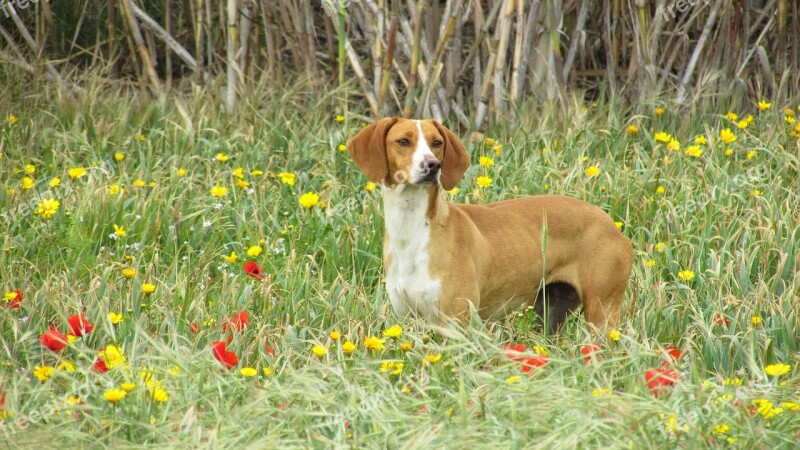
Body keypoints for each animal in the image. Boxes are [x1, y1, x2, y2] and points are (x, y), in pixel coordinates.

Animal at [346, 118, 636, 332]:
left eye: (437, 143)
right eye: (403, 141)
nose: (432, 165)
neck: (412, 230)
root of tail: (612, 225)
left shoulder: (457, 323)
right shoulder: (409, 321)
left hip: (602, 312)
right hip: (549, 312)